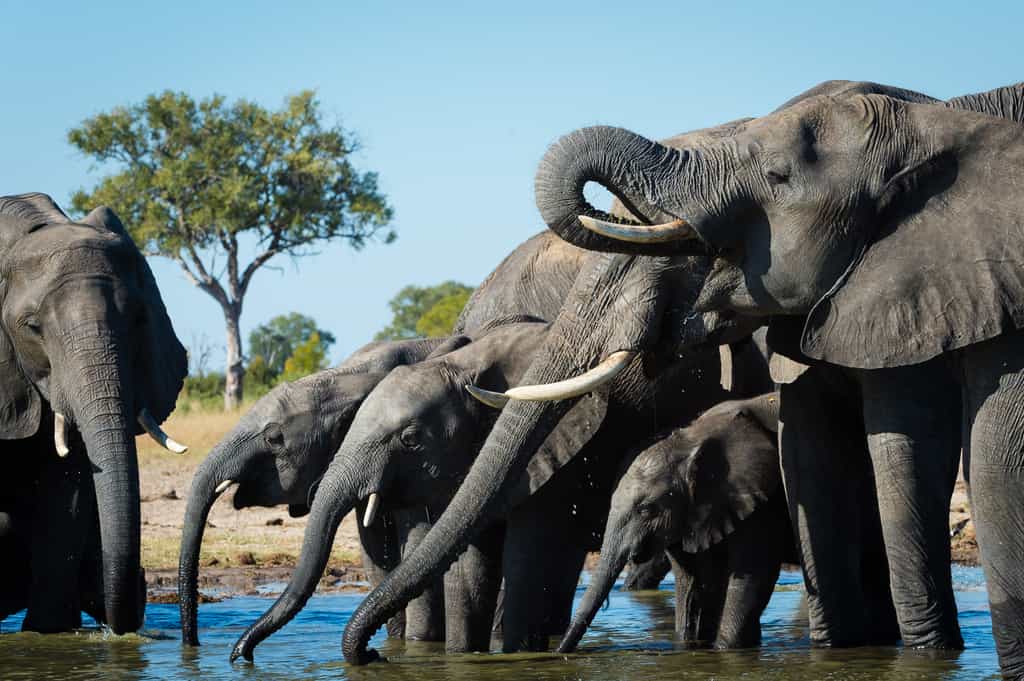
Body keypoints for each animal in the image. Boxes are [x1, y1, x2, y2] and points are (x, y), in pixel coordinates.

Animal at [335, 81, 1024, 667]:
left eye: (776, 179)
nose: (368, 657)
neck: (929, 114)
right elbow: (813, 454)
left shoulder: (913, 285)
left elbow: (903, 440)